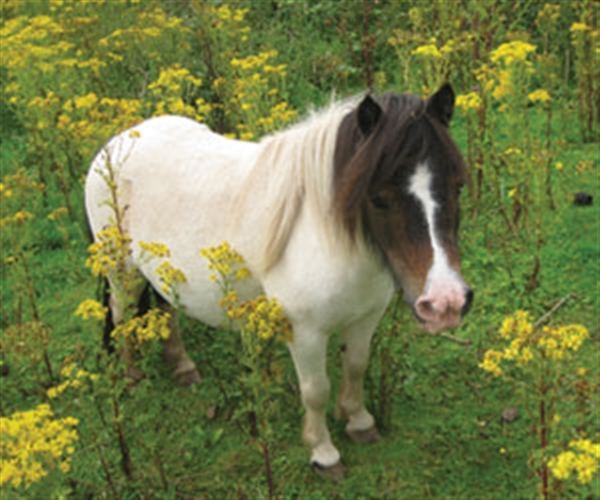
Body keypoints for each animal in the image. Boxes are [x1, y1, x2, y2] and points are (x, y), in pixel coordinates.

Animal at [85, 84, 474, 478]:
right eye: (378, 199)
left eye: (458, 187)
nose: (446, 303)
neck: (331, 239)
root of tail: (118, 141)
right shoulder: (304, 332)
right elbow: (316, 390)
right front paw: (323, 452)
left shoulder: (365, 318)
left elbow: (356, 365)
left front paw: (359, 421)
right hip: (123, 271)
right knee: (121, 314)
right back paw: (132, 375)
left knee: (166, 308)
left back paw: (182, 367)